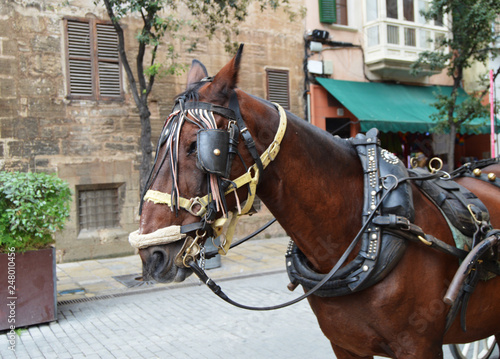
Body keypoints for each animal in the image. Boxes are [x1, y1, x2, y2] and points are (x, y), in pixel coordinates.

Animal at [134, 46, 500, 358]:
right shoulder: (346, 346)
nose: (151, 255)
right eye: (160, 144)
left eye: (198, 147)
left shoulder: (418, 347)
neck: (365, 225)